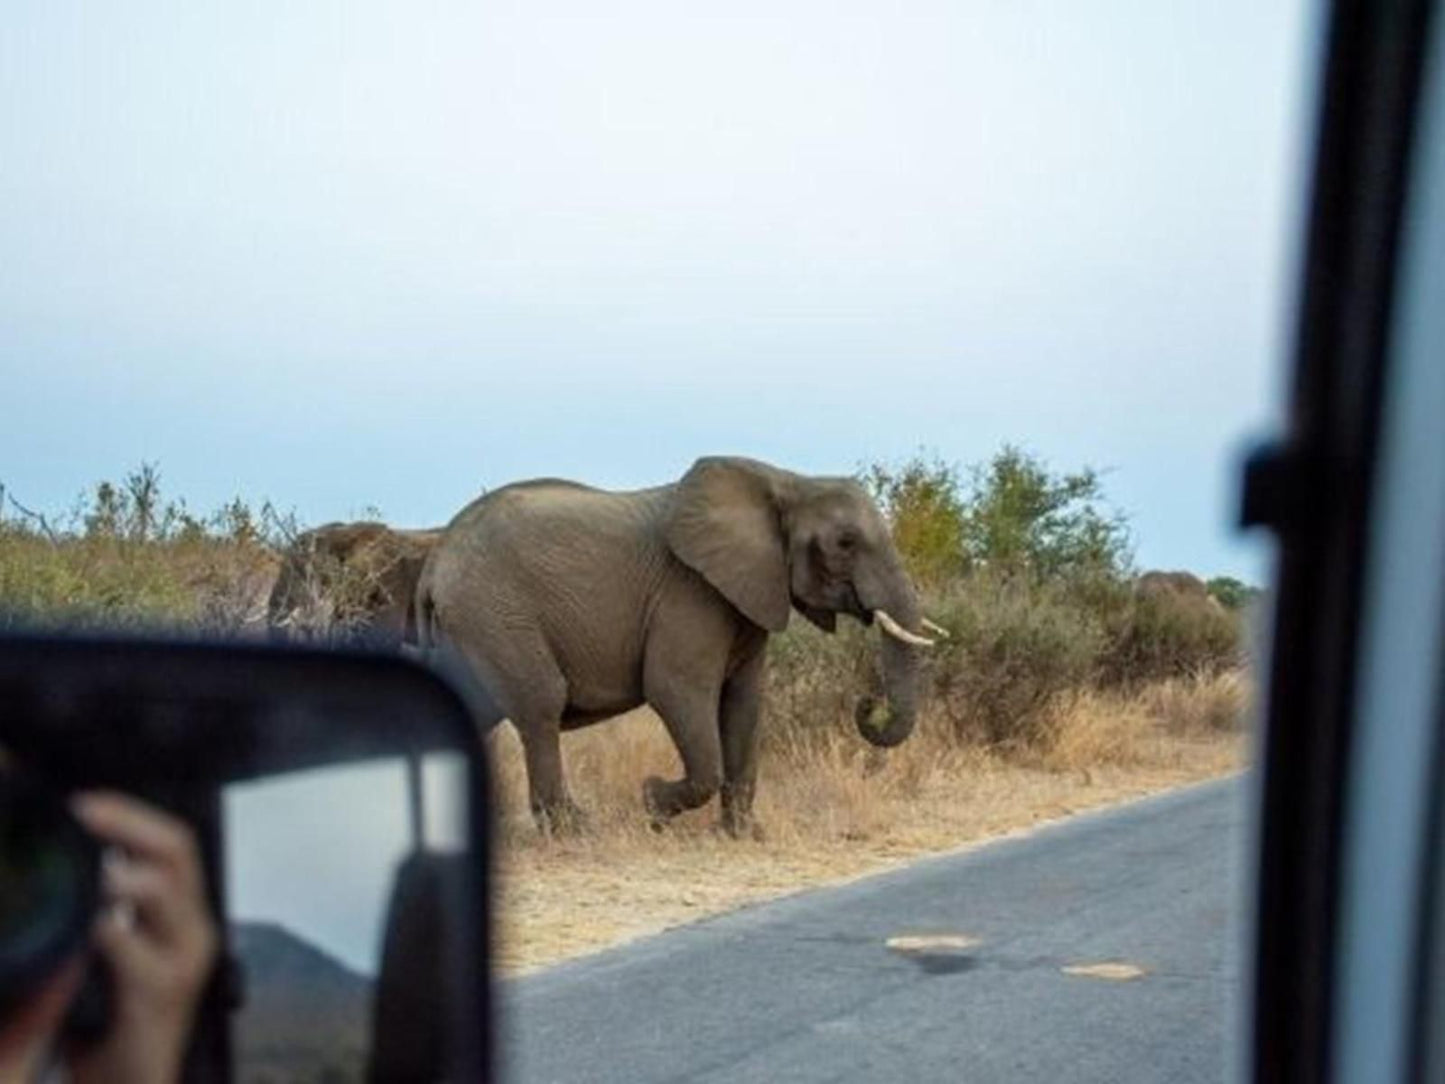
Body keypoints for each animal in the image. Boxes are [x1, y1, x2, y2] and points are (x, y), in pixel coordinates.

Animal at [416, 453, 947, 838]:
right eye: (845, 543)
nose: (867, 703)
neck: (787, 480)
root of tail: (435, 563)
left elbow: (744, 701)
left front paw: (743, 834)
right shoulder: (689, 594)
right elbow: (675, 689)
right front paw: (651, 802)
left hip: (475, 625)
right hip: (496, 613)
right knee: (541, 703)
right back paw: (574, 830)